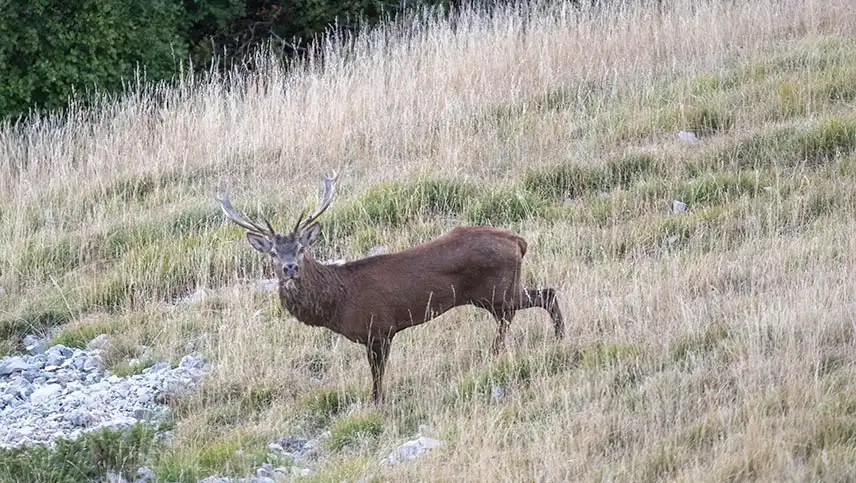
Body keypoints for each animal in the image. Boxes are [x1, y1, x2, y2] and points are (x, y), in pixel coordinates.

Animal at [215, 172, 565, 404]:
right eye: (273, 253)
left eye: (302, 248)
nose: (290, 267)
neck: (338, 301)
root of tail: (518, 241)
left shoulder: (379, 328)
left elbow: (377, 375)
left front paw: (377, 401)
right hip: (496, 292)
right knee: (529, 304)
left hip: (499, 288)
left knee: (543, 296)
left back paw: (545, 341)